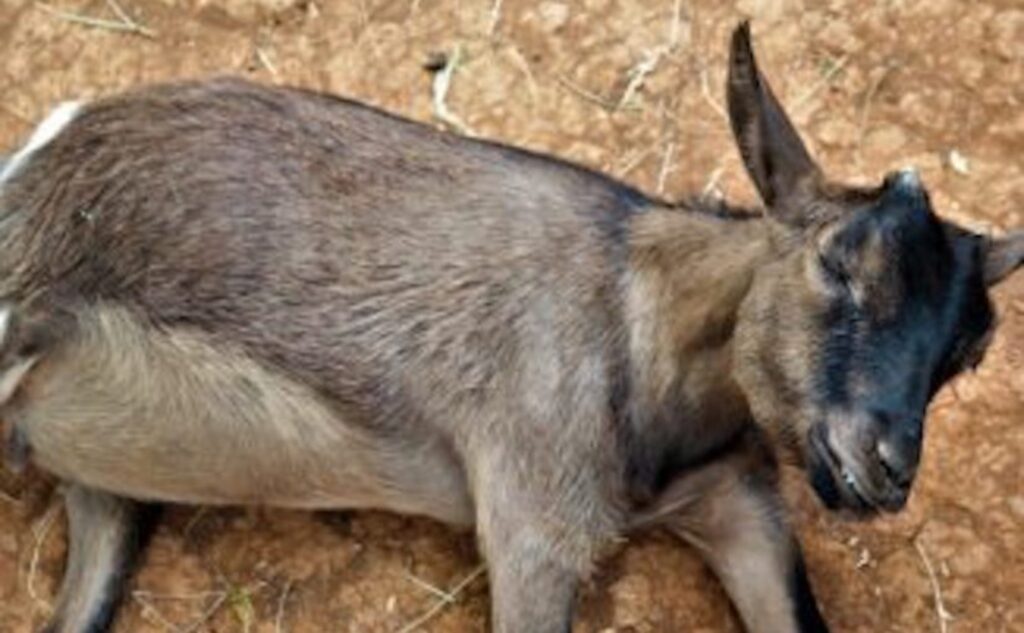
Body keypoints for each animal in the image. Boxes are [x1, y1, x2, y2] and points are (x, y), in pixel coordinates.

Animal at [0, 23, 1021, 633]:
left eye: (970, 353)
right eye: (837, 261)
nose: (883, 466)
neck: (642, 339)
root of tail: (44, 150)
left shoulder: (742, 509)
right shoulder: (534, 520)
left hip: (108, 488)